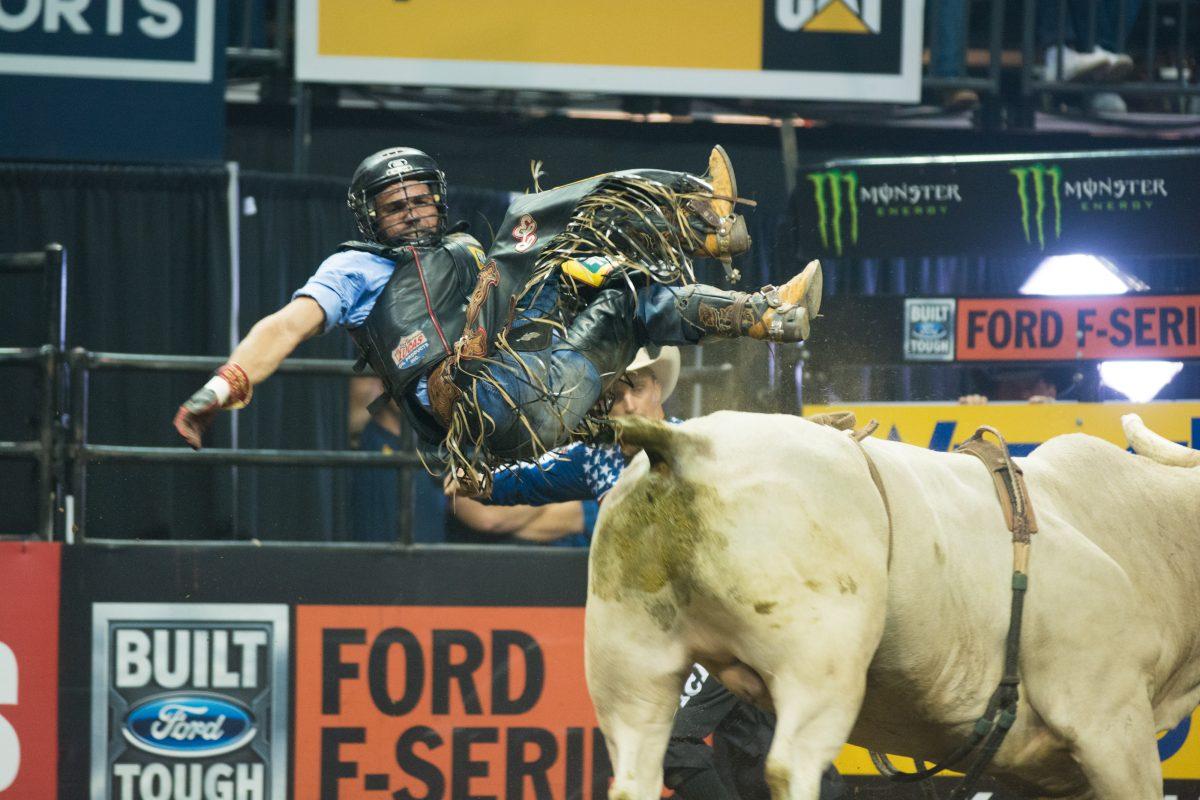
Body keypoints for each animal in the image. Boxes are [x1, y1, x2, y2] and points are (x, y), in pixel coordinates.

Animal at [585, 412, 1200, 800]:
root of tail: (687, 447)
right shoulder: (1110, 722)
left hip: (631, 668)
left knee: (635, 772)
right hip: (820, 667)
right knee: (790, 767)